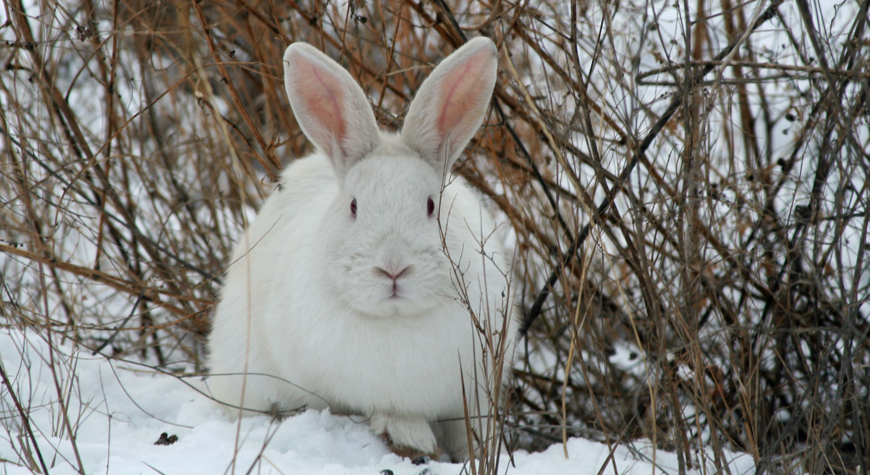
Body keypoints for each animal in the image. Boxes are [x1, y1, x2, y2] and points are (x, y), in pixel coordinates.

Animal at [207, 39, 516, 462]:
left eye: (431, 206)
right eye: (354, 206)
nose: (393, 269)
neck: (396, 321)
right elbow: (392, 414)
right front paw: (413, 438)